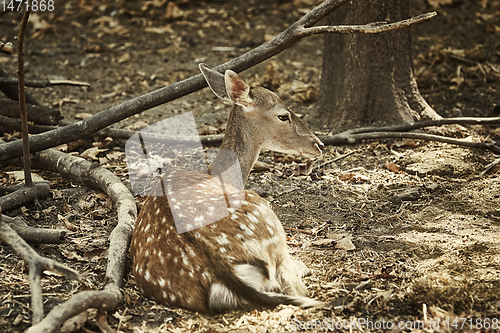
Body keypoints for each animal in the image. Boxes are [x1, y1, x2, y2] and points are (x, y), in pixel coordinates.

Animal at [129, 63, 324, 312]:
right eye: (283, 116)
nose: (319, 144)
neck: (223, 175)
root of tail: (221, 267)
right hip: (266, 216)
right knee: (294, 286)